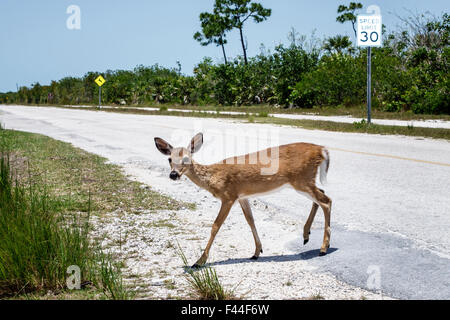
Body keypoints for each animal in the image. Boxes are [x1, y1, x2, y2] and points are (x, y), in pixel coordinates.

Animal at [155, 132, 330, 268]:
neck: (214, 177)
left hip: (301, 179)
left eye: (186, 159)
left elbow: (215, 226)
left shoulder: (228, 196)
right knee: (321, 195)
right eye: (169, 159)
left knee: (326, 200)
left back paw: (323, 248)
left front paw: (199, 261)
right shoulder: (242, 197)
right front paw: (257, 252)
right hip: (304, 181)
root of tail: (322, 149)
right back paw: (306, 235)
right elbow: (250, 220)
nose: (173, 175)